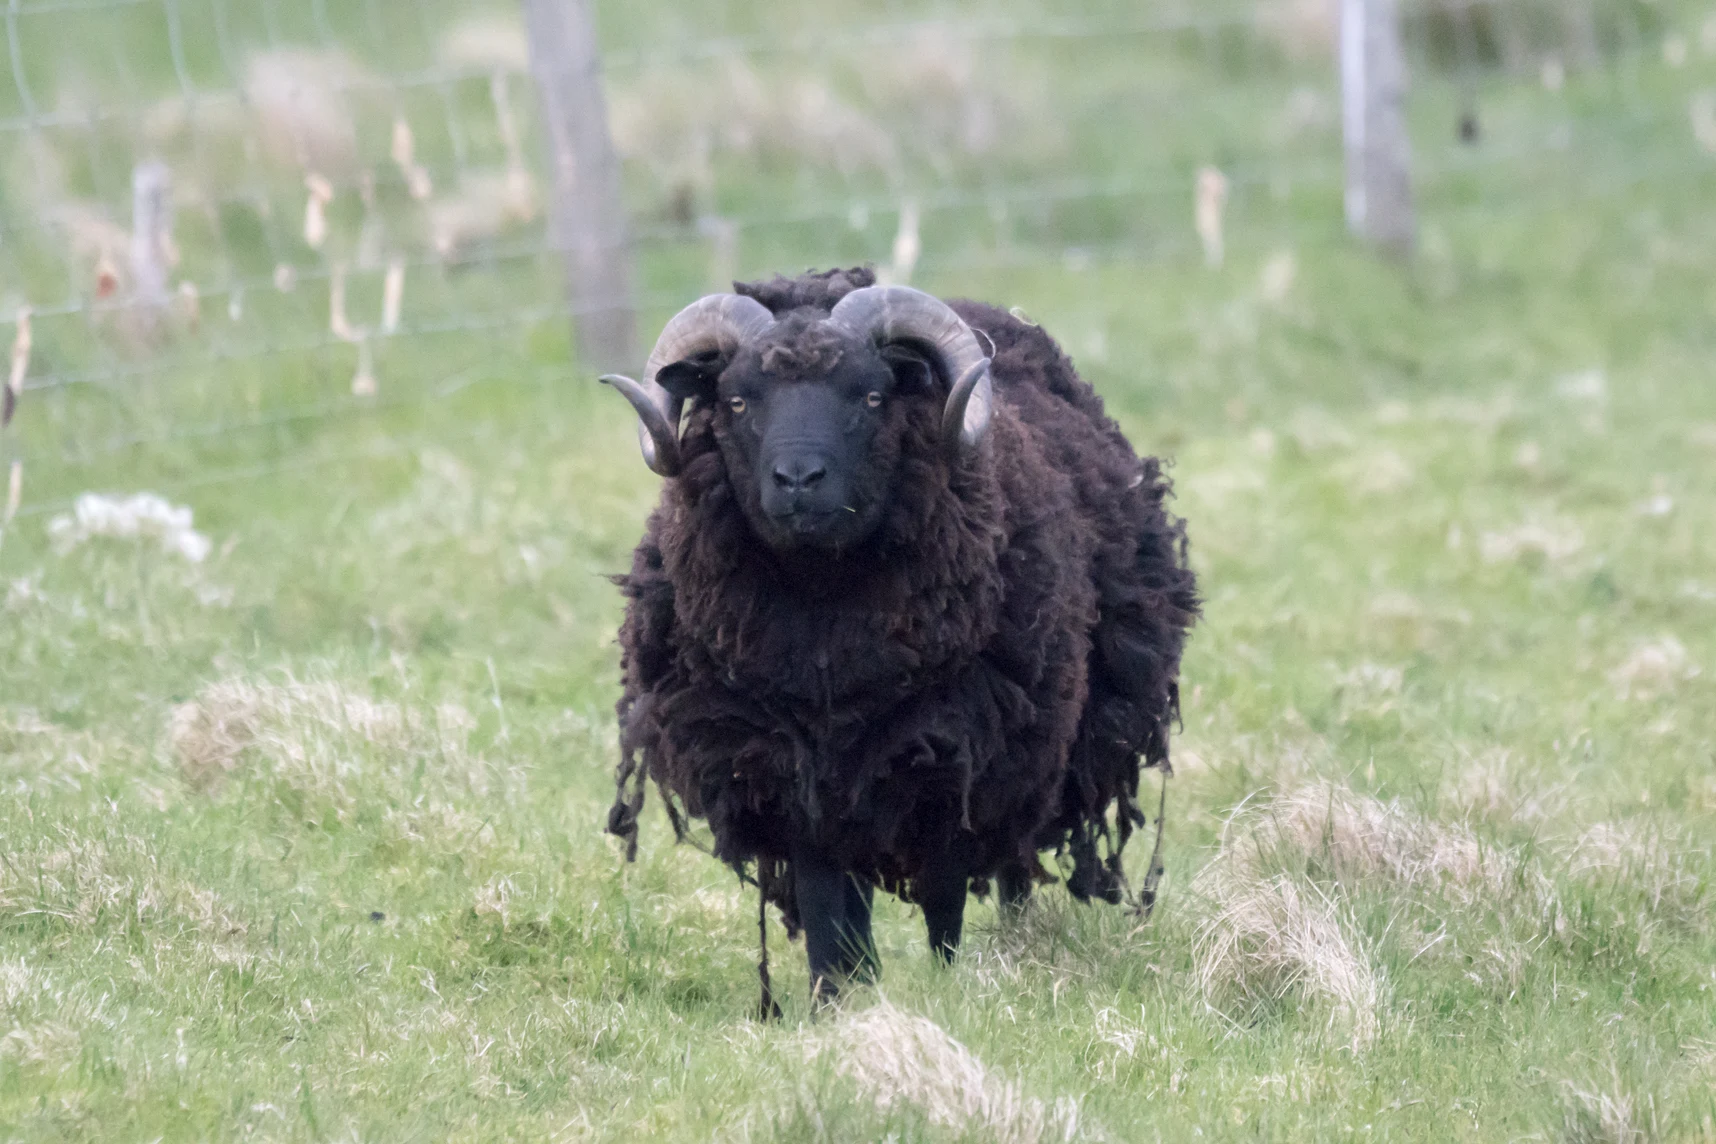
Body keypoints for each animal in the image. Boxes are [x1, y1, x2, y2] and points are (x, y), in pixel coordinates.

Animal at [602, 267, 1198, 1004]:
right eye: (737, 401)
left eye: (872, 395)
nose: (798, 480)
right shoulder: (796, 779)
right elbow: (828, 905)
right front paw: (836, 997)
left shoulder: (952, 759)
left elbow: (944, 895)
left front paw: (945, 987)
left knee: (1013, 865)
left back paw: (1019, 942)